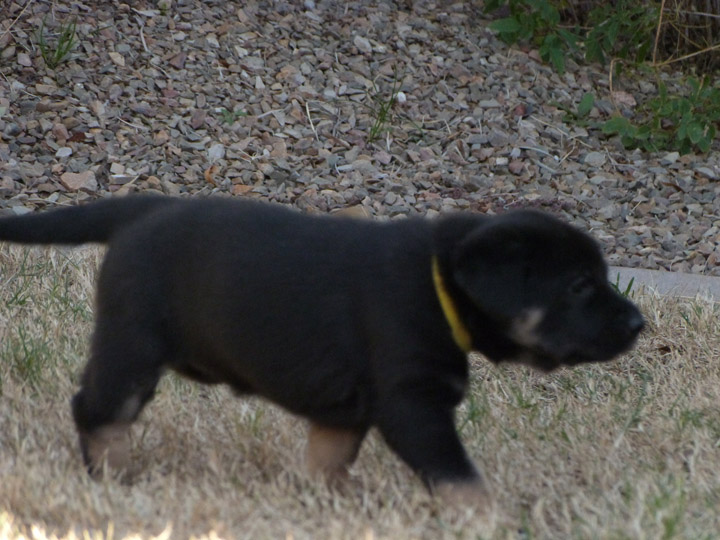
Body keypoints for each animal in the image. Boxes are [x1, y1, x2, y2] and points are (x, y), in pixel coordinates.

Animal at [0, 196, 640, 508]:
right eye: (580, 285)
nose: (638, 322)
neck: (439, 281)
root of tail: (142, 208)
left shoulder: (347, 411)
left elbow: (328, 461)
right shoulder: (412, 405)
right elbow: (461, 479)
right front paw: (492, 520)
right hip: (133, 346)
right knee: (97, 409)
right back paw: (113, 475)